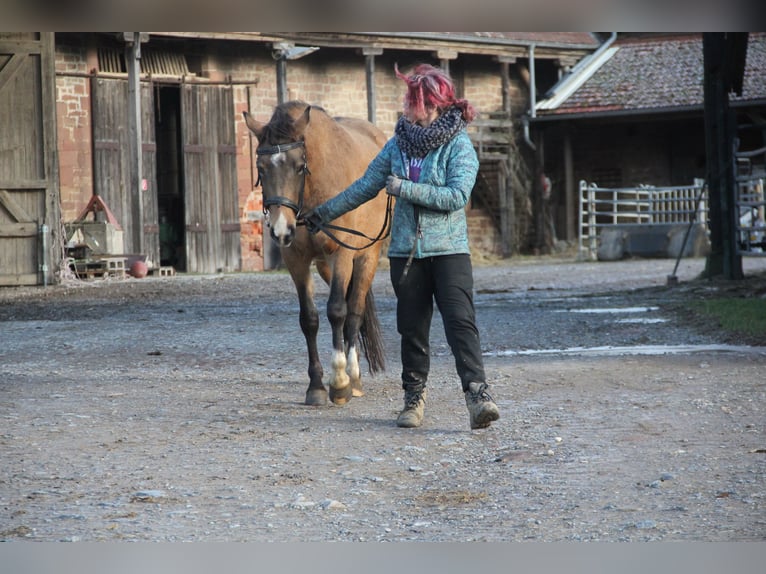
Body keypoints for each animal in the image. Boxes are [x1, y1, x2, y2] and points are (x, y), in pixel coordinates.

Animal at [244, 102, 392, 410]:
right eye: (261, 168)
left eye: (300, 167)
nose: (280, 229)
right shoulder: (297, 260)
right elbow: (309, 319)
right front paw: (316, 387)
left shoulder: (342, 255)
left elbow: (337, 311)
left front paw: (339, 383)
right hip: (325, 266)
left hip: (366, 258)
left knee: (354, 312)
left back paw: (354, 379)